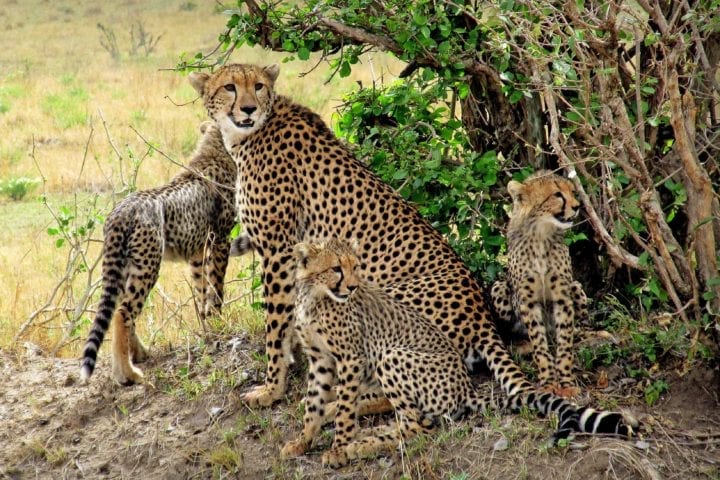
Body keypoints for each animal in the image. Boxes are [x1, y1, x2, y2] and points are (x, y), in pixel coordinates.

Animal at [80, 120, 237, 385]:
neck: (214, 150)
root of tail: (121, 209)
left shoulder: (197, 252)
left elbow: (202, 289)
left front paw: (207, 325)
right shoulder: (219, 240)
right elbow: (216, 287)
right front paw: (220, 323)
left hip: (124, 266)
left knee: (119, 306)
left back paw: (139, 354)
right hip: (147, 265)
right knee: (123, 312)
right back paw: (127, 373)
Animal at [281, 238, 504, 467]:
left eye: (355, 266)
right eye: (336, 268)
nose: (352, 287)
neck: (316, 296)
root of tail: (467, 388)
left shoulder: (350, 358)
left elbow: (345, 408)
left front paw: (339, 449)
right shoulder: (320, 359)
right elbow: (313, 404)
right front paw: (302, 442)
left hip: (390, 356)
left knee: (419, 426)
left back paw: (360, 445)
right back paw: (367, 434)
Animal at [491, 170, 588, 398]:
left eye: (572, 191)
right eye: (557, 194)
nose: (577, 206)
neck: (541, 234)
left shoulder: (562, 297)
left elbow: (564, 343)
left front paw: (566, 382)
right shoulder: (527, 300)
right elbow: (539, 343)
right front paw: (548, 382)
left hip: (575, 287)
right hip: (499, 288)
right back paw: (523, 344)